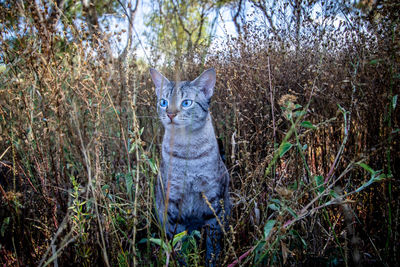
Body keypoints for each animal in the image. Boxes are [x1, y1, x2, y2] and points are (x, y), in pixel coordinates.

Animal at [150, 68, 231, 266]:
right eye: (163, 102)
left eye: (186, 103)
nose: (170, 114)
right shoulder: (172, 204)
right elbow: (178, 244)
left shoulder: (213, 203)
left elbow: (213, 245)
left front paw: (211, 261)